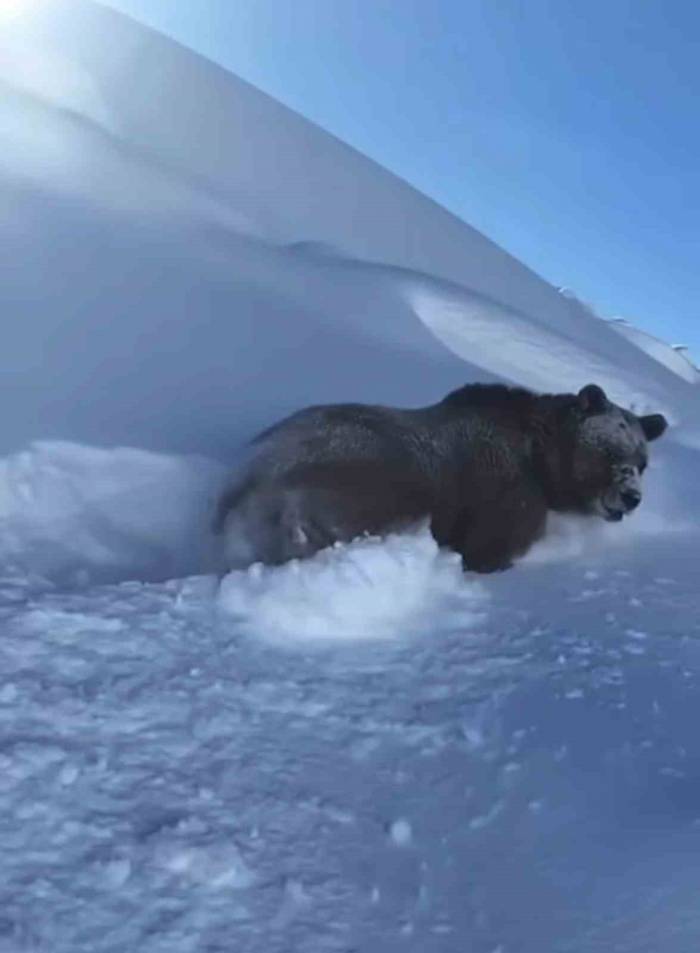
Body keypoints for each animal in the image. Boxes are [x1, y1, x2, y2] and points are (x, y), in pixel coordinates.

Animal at [213, 382, 668, 572]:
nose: (632, 496)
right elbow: (490, 547)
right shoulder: (504, 498)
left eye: (642, 461)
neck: (542, 461)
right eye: (610, 451)